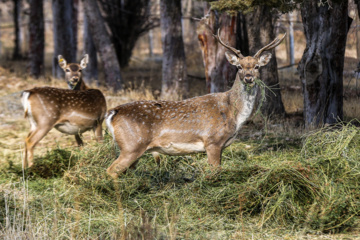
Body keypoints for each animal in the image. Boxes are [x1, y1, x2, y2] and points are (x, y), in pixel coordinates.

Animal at [105, 30, 286, 178]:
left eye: (257, 67)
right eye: (239, 67)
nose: (248, 77)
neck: (233, 114)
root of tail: (112, 113)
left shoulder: (221, 145)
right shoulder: (212, 141)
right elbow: (215, 171)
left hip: (132, 149)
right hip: (132, 145)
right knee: (110, 170)